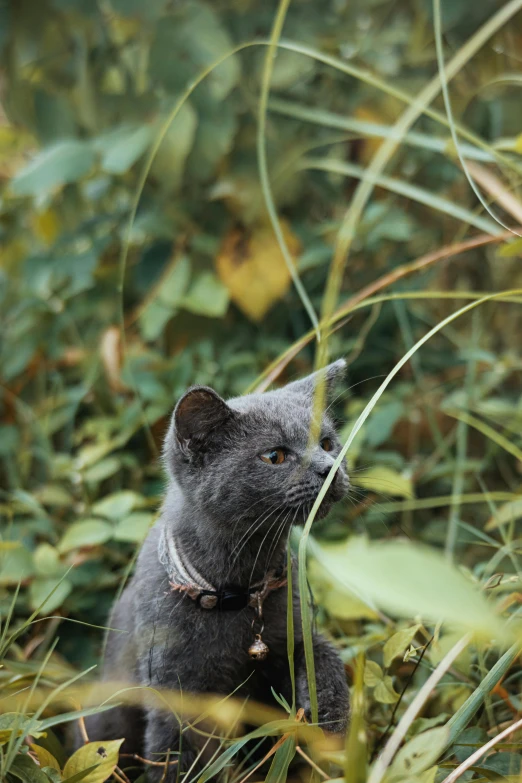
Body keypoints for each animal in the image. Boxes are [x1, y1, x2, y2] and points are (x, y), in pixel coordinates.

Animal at [82, 360, 350, 776]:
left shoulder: (292, 630)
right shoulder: (177, 690)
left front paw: (331, 716)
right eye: (274, 456)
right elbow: (176, 756)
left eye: (326, 443)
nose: (330, 467)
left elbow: (323, 655)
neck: (238, 589)